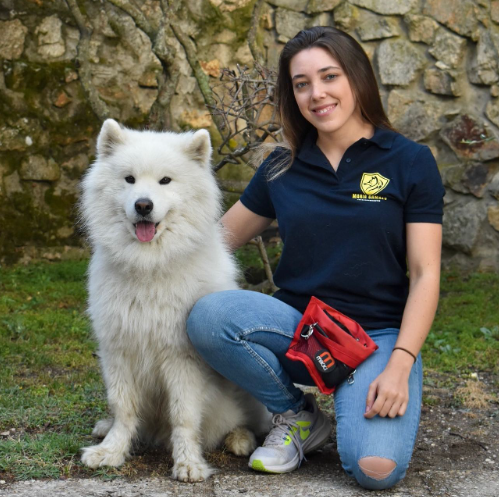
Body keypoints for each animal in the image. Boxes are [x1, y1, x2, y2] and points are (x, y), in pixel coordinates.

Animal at [80, 119, 272, 480]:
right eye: (129, 179)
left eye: (165, 181)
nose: (143, 205)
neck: (150, 266)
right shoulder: (119, 351)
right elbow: (123, 408)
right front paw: (111, 451)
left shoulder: (181, 358)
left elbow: (184, 416)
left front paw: (188, 463)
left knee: (247, 420)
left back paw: (240, 439)